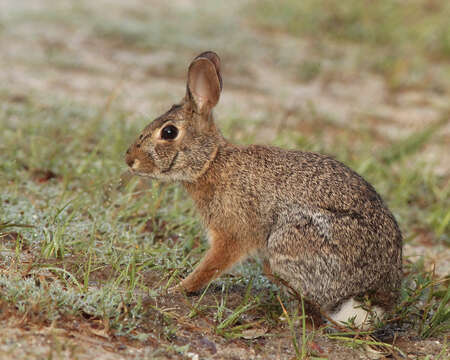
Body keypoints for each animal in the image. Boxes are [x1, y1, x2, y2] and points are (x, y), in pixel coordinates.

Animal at [125, 50, 402, 330]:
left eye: (169, 132)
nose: (129, 160)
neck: (211, 162)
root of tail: (376, 295)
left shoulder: (232, 234)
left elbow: (210, 267)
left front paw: (177, 288)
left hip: (290, 242)